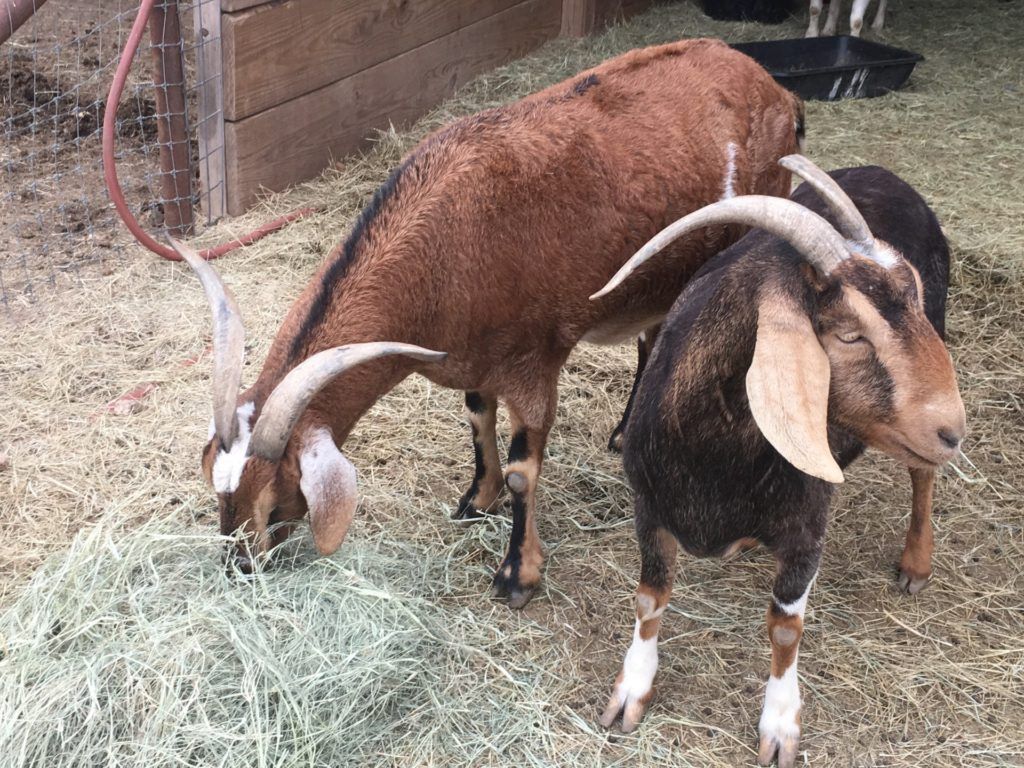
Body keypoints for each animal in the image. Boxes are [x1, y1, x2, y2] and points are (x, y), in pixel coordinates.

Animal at [177, 39, 804, 608]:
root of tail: (775, 88)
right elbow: (478, 416)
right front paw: (477, 499)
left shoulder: (535, 360)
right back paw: (626, 431)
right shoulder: (474, 354)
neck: (454, 241)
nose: (239, 567)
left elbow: (526, 470)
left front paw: (516, 576)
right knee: (654, 335)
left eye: (278, 498)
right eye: (216, 486)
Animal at [594, 156, 965, 766]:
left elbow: (786, 627)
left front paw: (779, 726)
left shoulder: (806, 531)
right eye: (849, 334)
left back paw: (916, 562)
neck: (714, 463)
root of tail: (885, 172)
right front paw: (630, 693)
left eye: (911, 294)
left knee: (922, 474)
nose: (954, 430)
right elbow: (651, 598)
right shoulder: (649, 507)